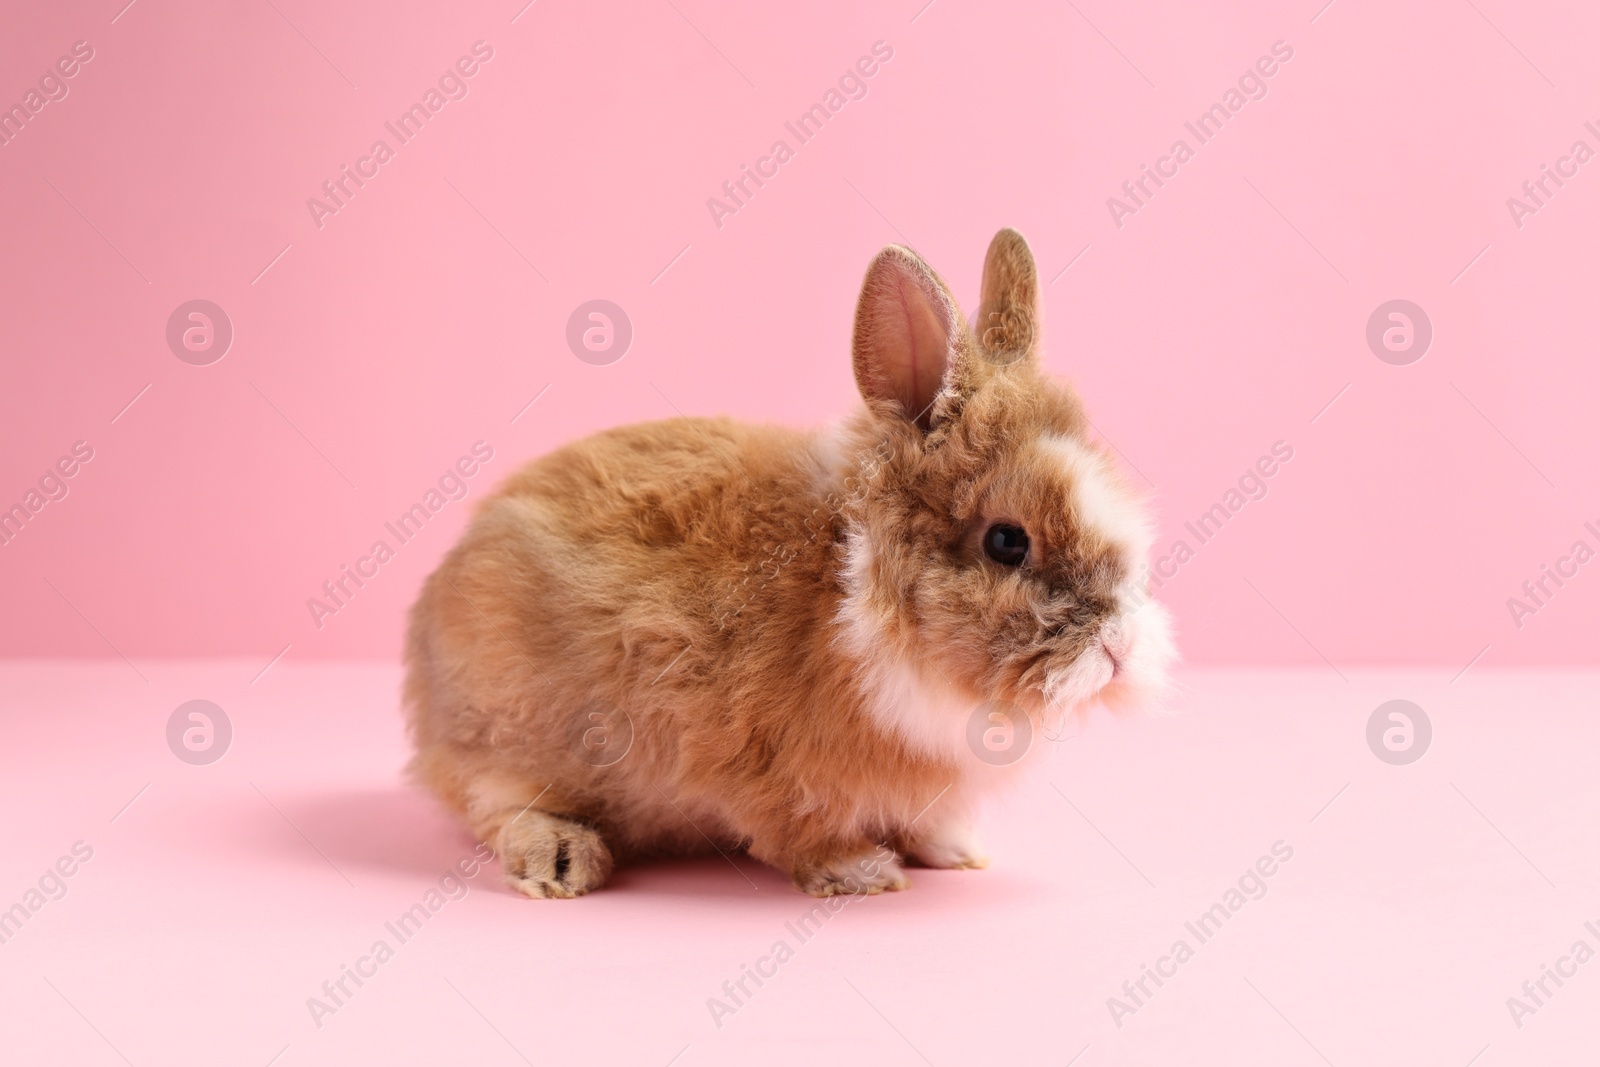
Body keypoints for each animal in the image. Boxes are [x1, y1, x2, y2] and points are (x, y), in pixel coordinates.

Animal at [400, 230, 1177, 895]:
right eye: (1007, 542)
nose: (1118, 647)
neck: (853, 592)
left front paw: (956, 851)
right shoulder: (762, 762)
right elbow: (797, 829)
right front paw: (862, 872)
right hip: (505, 734)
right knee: (493, 801)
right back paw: (561, 859)